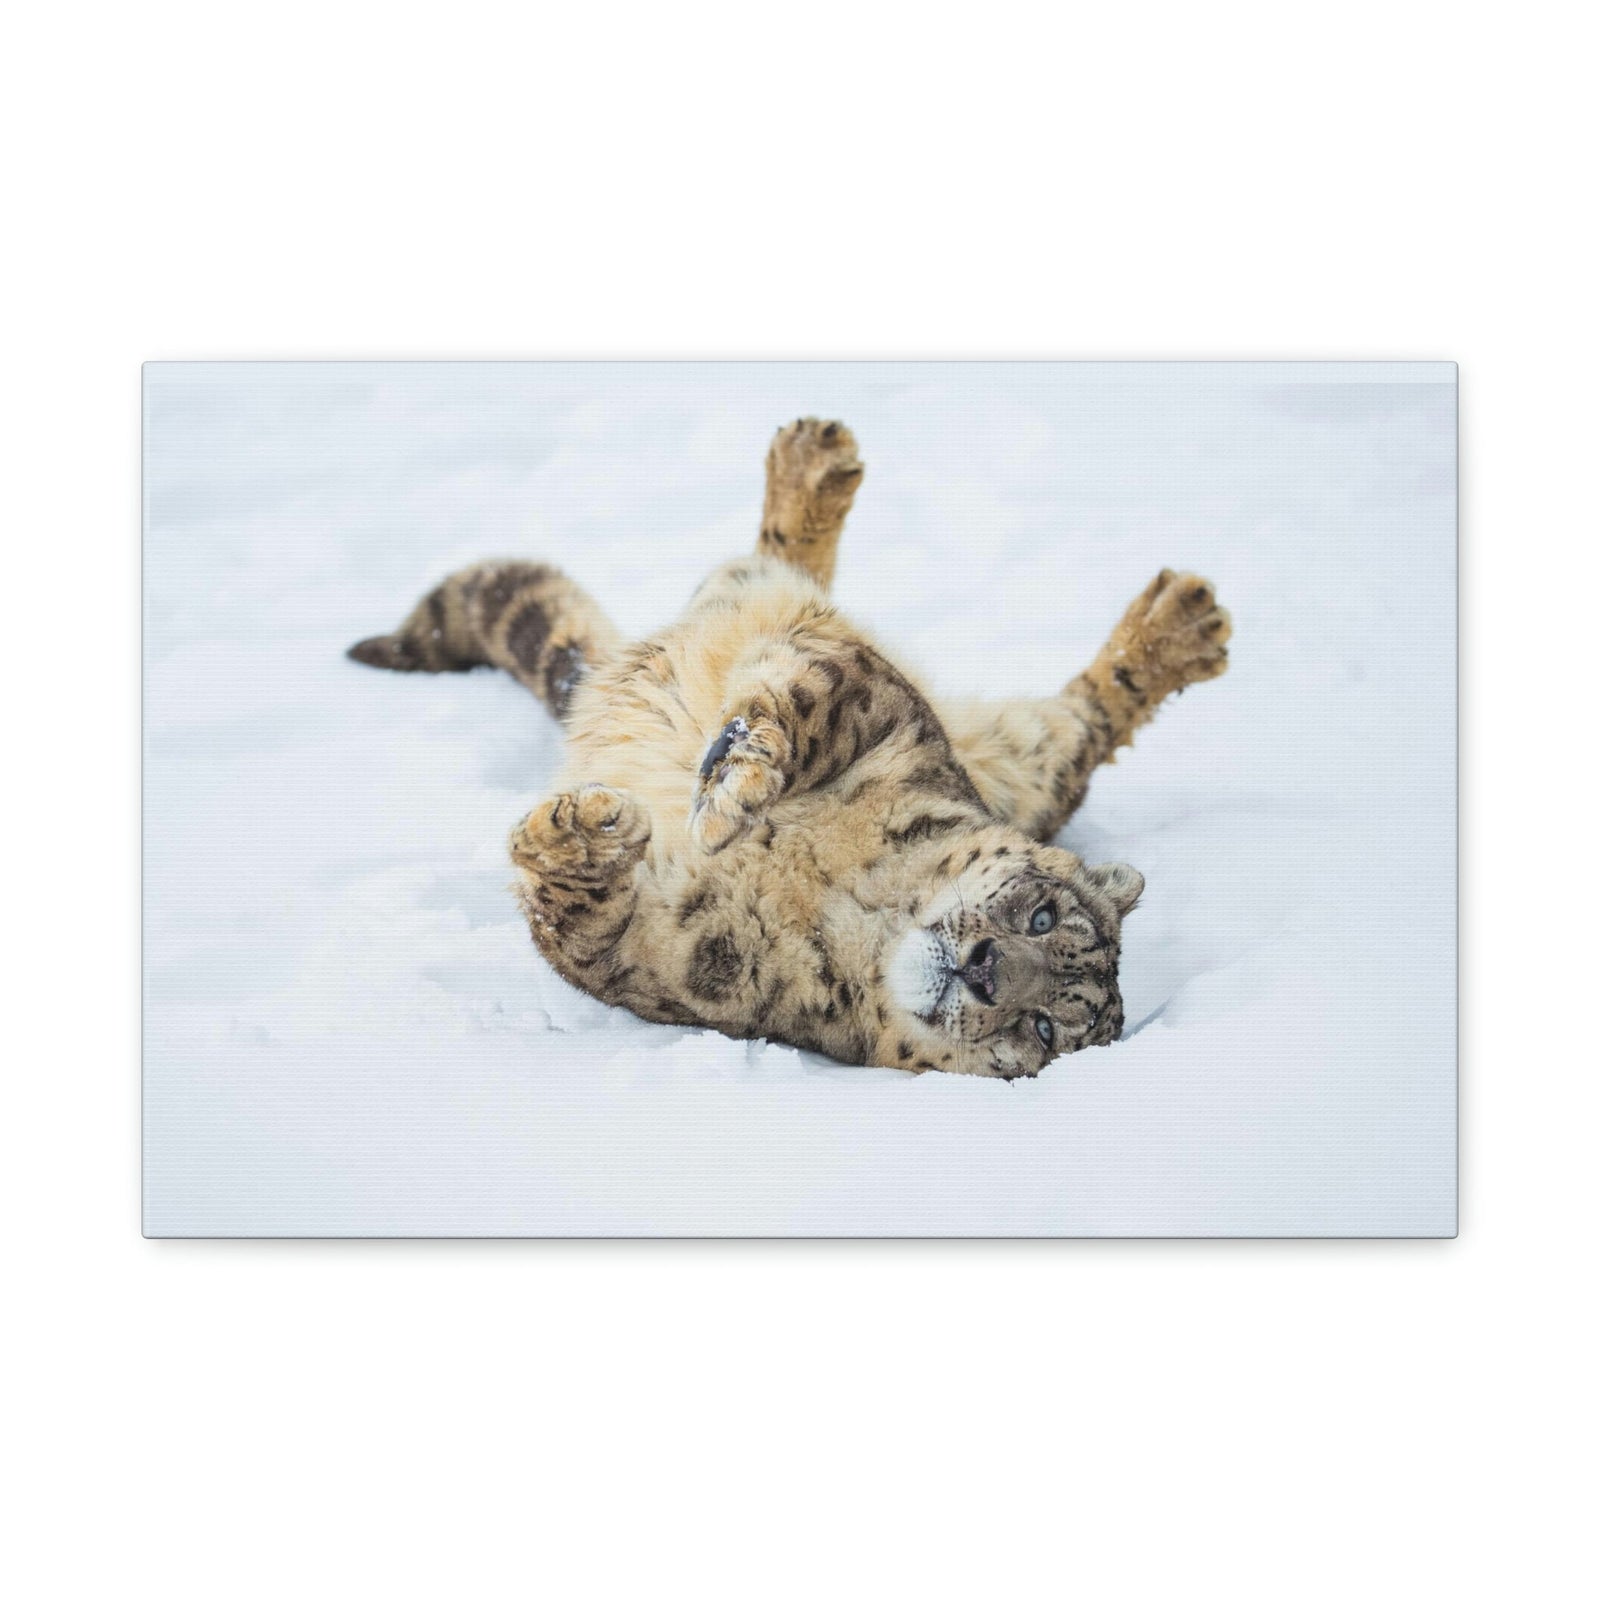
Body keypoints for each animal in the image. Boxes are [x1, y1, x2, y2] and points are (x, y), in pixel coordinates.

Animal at [348, 418, 1230, 1078]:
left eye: (1045, 1029)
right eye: (1043, 916)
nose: (985, 969)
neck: (854, 901)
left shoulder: (673, 964)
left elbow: (582, 927)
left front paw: (596, 835)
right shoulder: (884, 708)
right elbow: (806, 702)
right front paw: (724, 792)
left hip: (1030, 765)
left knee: (1084, 727)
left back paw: (1184, 627)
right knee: (771, 568)